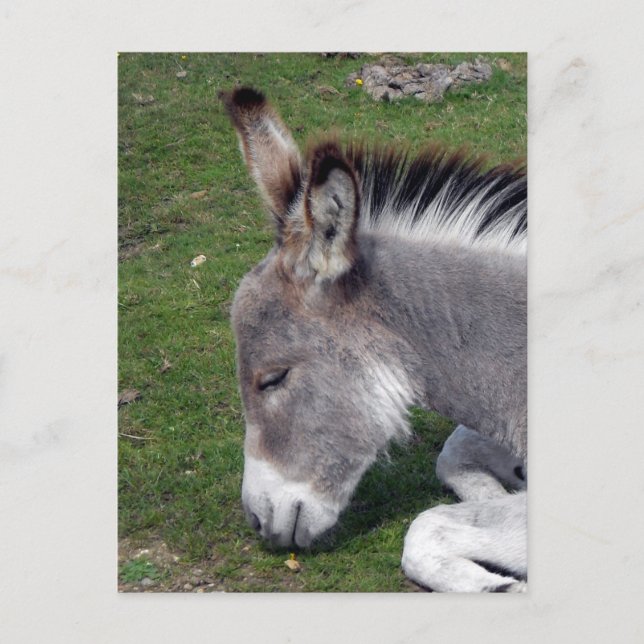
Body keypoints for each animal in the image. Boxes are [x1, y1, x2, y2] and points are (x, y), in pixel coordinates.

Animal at [220, 86, 527, 592]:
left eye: (274, 378)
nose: (257, 524)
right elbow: (454, 452)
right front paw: (499, 490)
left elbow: (427, 527)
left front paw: (497, 585)